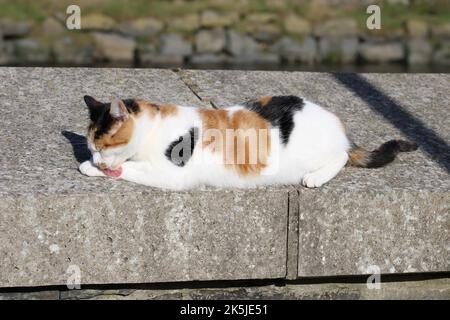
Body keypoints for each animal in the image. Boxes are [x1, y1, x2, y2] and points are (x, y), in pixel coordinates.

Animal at [78, 95, 418, 190]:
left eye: (101, 146)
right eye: (92, 147)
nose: (95, 158)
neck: (153, 127)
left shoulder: (171, 175)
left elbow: (129, 170)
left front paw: (92, 169)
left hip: (317, 153)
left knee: (342, 157)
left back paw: (316, 177)